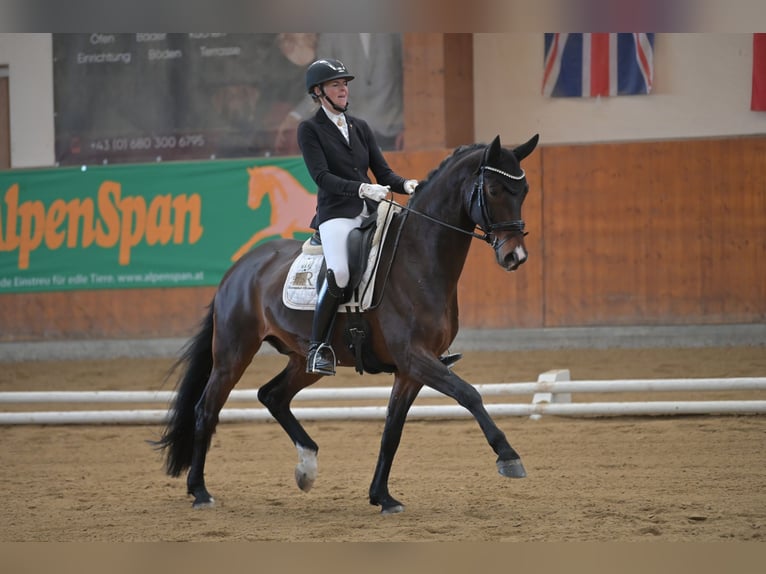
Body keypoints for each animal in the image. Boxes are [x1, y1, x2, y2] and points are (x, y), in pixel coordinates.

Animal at [156, 133, 540, 516]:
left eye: (524, 191)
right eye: (492, 189)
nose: (515, 256)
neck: (418, 259)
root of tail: (238, 268)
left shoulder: (411, 369)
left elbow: (392, 431)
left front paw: (382, 496)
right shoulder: (415, 357)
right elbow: (469, 394)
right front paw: (509, 457)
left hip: (304, 360)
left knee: (272, 396)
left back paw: (307, 465)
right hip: (234, 353)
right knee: (206, 409)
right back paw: (200, 491)